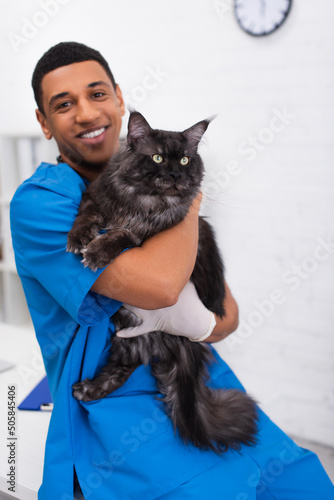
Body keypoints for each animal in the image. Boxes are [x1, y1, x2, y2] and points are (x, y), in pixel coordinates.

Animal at [66, 112, 258, 454]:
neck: (144, 202)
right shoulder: (94, 197)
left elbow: (122, 235)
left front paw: (98, 252)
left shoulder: (146, 237)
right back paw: (91, 390)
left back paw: (89, 390)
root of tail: (185, 345)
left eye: (184, 160)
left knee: (128, 364)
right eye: (157, 158)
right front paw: (78, 239)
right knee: (126, 364)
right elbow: (86, 216)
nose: (174, 174)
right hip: (126, 329)